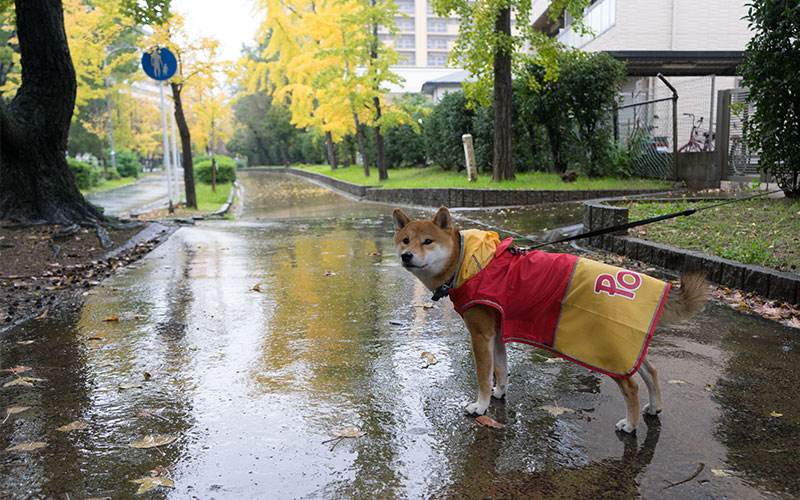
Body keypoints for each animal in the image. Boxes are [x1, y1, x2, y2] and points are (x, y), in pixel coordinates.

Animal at [394, 205, 708, 432]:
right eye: (405, 240)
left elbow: (483, 375)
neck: (467, 262)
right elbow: (501, 369)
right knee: (650, 372)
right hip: (627, 347)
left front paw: (480, 406)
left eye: (428, 241)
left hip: (605, 349)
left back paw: (630, 425)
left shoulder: (480, 334)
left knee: (631, 386)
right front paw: (500, 393)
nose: (406, 255)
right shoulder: (498, 331)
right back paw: (654, 408)